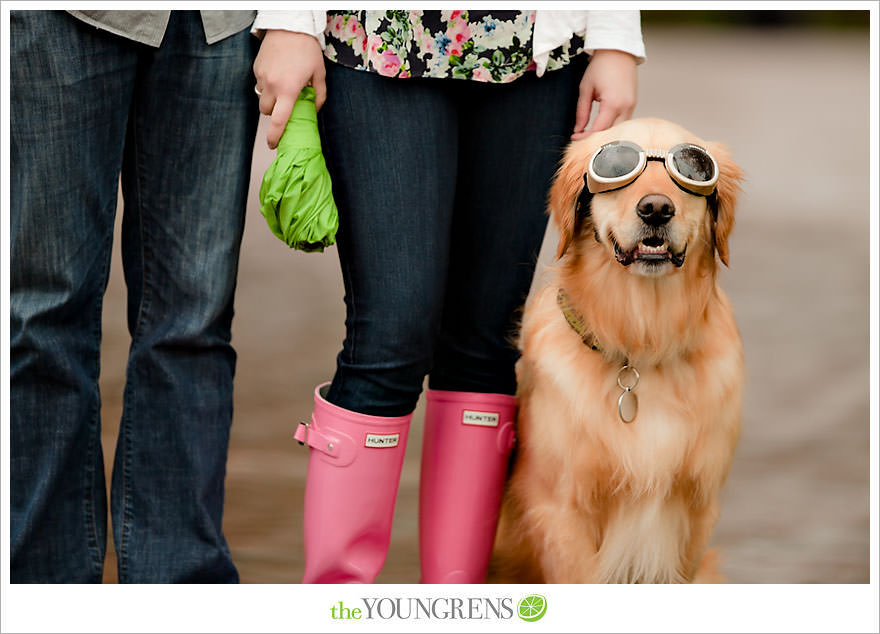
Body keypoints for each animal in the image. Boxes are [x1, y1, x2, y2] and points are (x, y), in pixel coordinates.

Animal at [492, 118, 744, 584]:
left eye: (693, 169)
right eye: (616, 167)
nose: (657, 209)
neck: (641, 344)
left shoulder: (697, 509)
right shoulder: (562, 508)